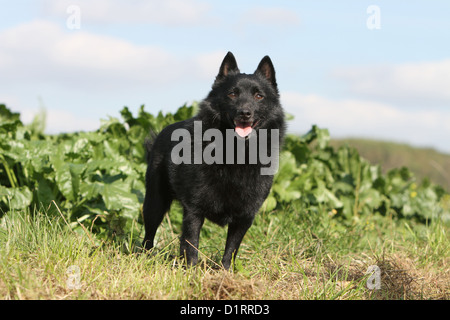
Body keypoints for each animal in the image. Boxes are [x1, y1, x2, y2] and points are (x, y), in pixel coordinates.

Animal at [142, 52, 286, 270]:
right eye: (232, 94)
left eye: (259, 96)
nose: (245, 113)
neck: (236, 152)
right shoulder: (193, 210)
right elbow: (191, 245)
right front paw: (191, 272)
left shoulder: (245, 217)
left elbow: (231, 250)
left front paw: (225, 274)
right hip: (154, 202)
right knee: (148, 235)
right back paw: (143, 257)